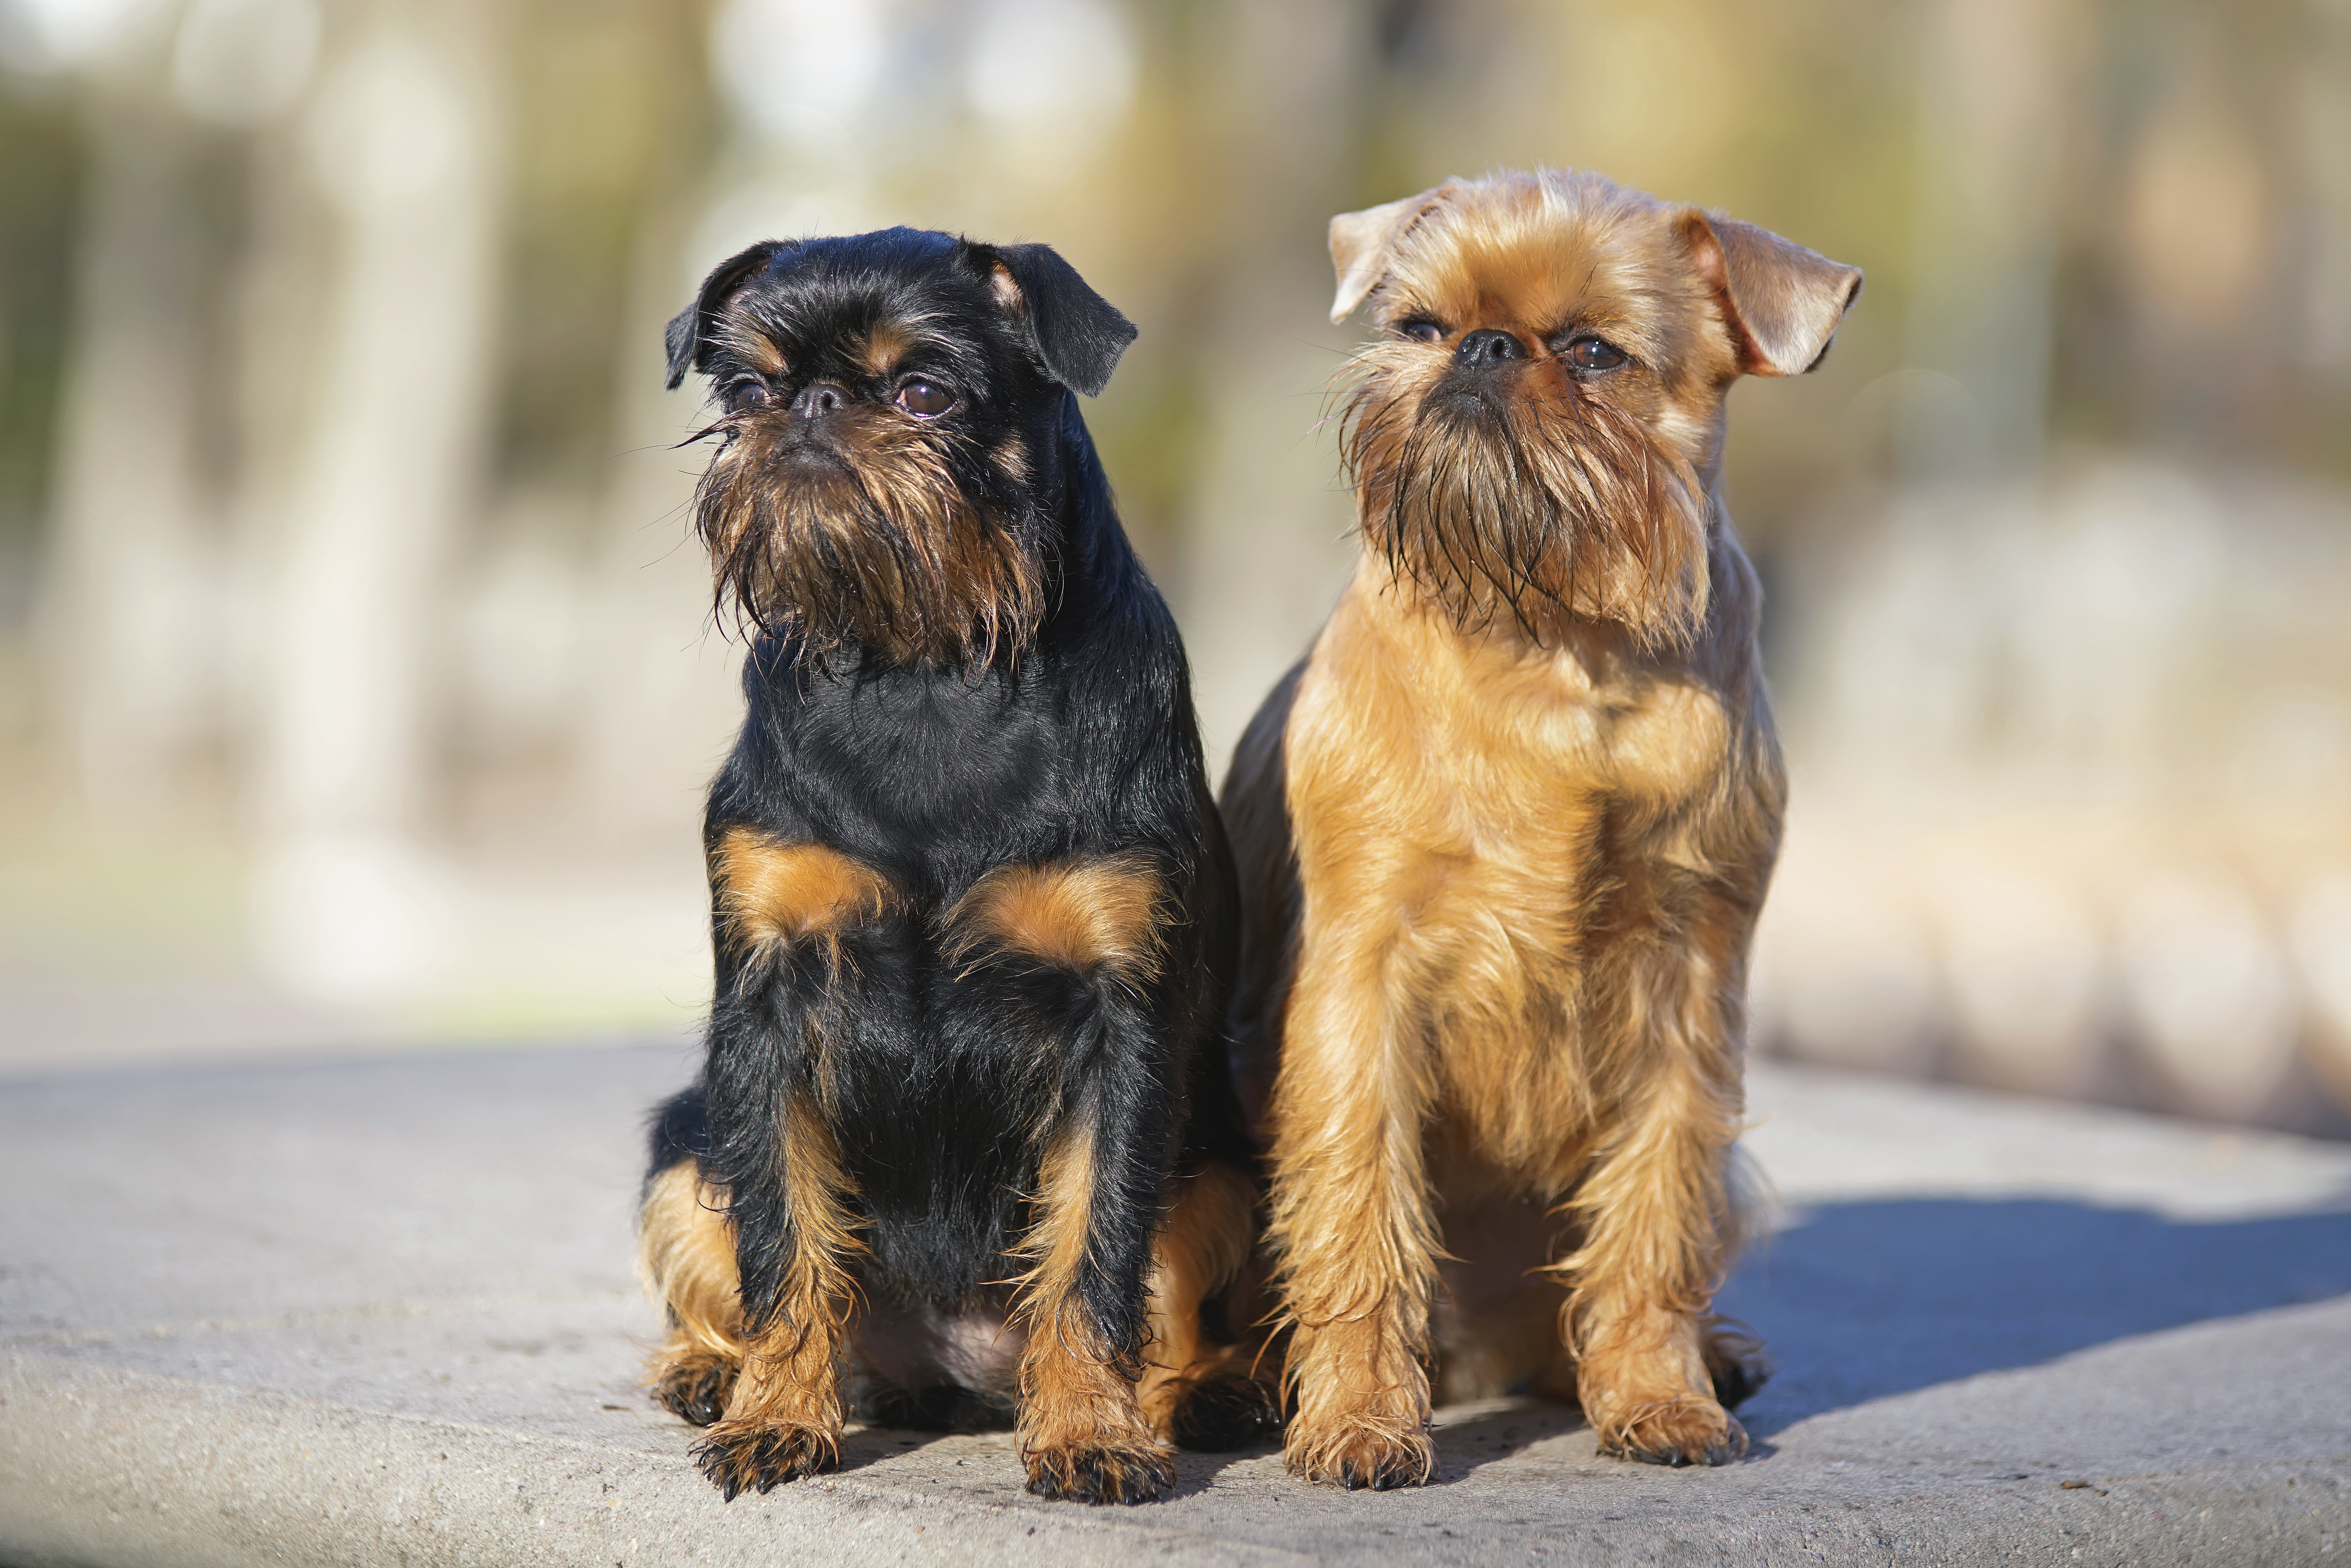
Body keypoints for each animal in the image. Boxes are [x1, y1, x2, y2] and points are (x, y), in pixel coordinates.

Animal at [639, 230, 1270, 1504]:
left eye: (926, 391)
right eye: (749, 392)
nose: (814, 404)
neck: (924, 666)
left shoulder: (1119, 1022)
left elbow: (1094, 1245)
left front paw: (1091, 1429)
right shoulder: (766, 1009)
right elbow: (784, 1237)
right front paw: (777, 1415)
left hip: (1226, 1165)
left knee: (1169, 1307)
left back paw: (1196, 1392)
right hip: (681, 1145)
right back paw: (711, 1371)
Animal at [1223, 166, 1862, 1495]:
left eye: (1593, 353)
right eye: (1418, 324)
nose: (1481, 346)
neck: (1556, 640)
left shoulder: (1689, 992)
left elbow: (1656, 1213)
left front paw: (1658, 1395)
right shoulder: (1358, 989)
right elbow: (1358, 1210)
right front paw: (1358, 1419)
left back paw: (1689, 1361)